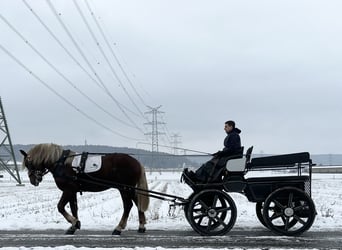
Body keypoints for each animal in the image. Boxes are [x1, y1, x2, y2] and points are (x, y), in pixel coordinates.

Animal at [20, 144, 148, 235]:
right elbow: (74, 208)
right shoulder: (73, 191)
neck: (61, 163)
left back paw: (118, 228)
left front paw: (74, 223)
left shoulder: (68, 190)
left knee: (128, 206)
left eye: (28, 164)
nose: (33, 180)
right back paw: (141, 226)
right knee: (138, 204)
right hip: (129, 189)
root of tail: (137, 162)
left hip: (124, 189)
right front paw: (74, 226)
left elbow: (60, 207)